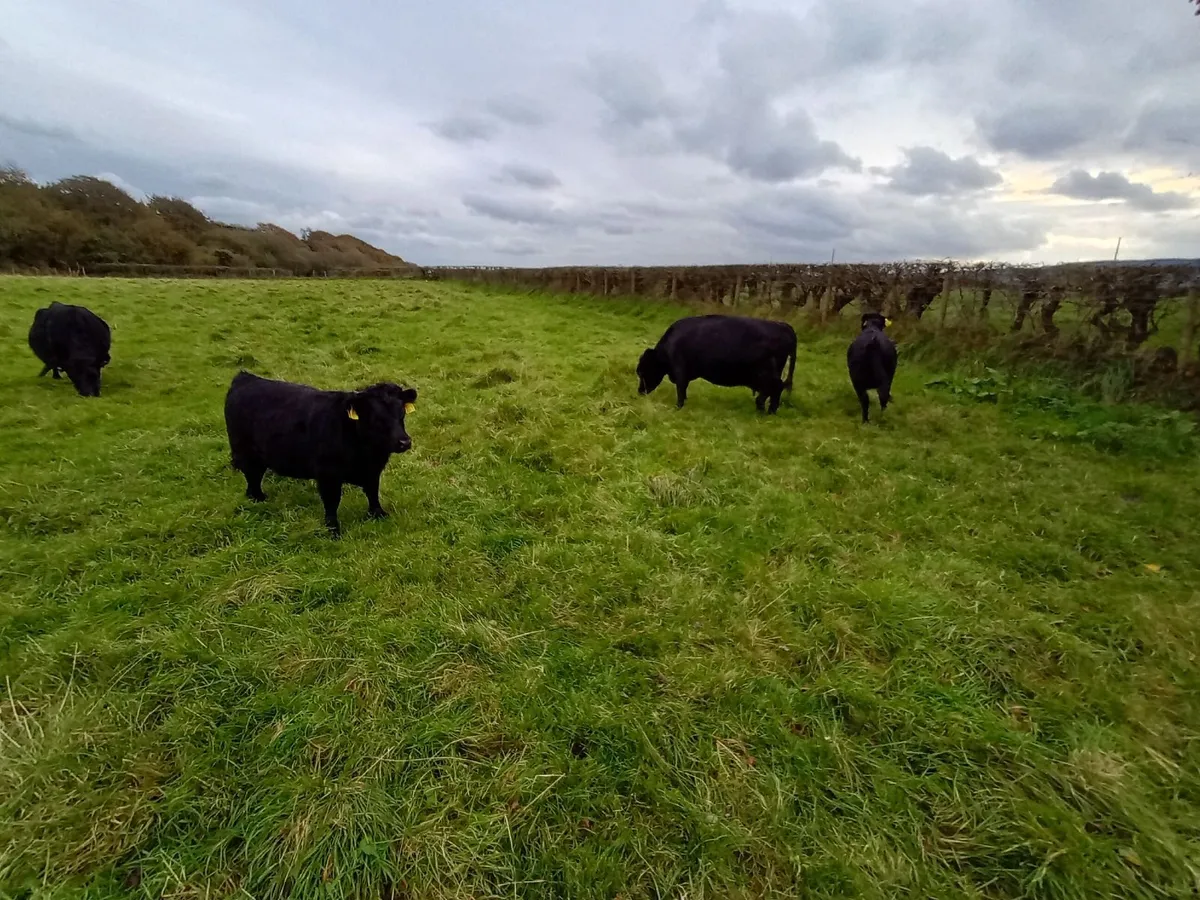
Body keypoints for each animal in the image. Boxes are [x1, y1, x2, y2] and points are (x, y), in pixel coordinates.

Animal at [223, 370, 417, 536]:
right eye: (376, 418)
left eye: (402, 414)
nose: (404, 442)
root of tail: (246, 377)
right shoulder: (327, 474)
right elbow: (332, 502)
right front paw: (333, 529)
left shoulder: (373, 470)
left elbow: (372, 492)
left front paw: (378, 514)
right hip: (245, 451)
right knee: (252, 476)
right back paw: (257, 498)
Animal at [636, 314, 797, 413]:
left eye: (642, 371)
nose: (640, 391)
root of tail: (782, 325)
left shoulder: (680, 370)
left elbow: (681, 389)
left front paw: (678, 407)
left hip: (766, 375)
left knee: (775, 388)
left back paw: (764, 409)